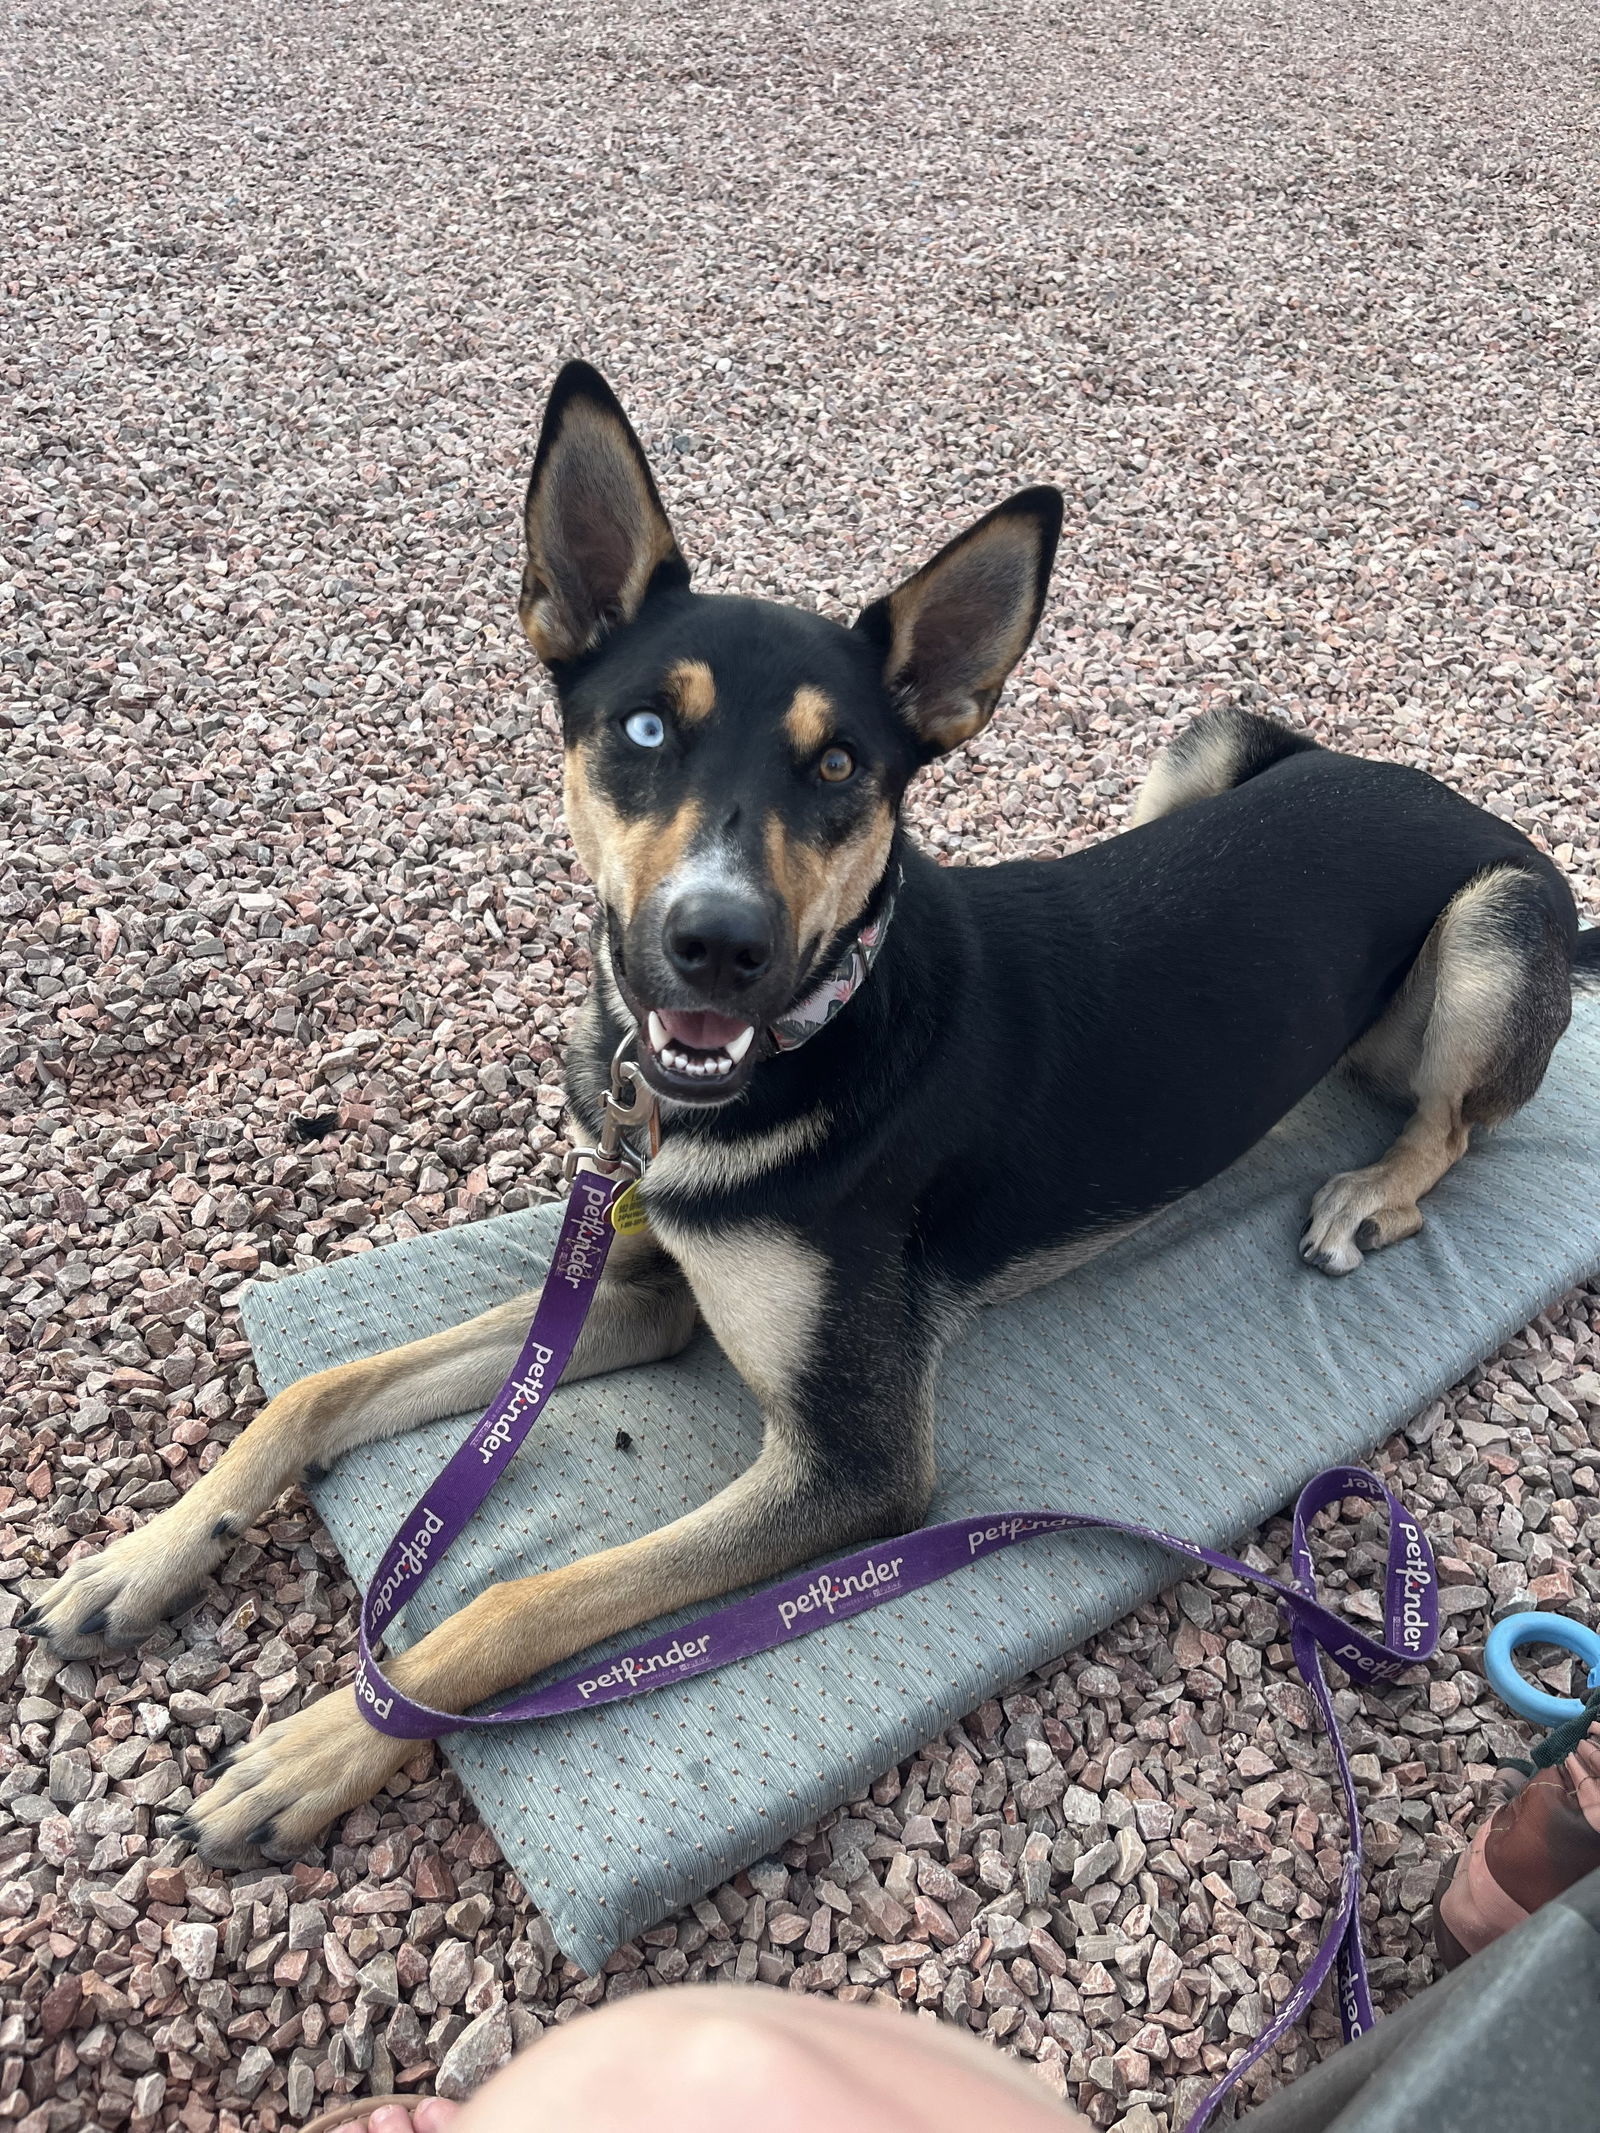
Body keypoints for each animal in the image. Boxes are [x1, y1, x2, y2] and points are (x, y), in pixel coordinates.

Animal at [25, 362, 1600, 1851]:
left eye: (841, 765)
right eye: (642, 728)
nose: (715, 943)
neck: (799, 1046)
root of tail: (1454, 800)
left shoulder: (853, 1467)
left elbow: (523, 1598)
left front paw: (326, 1742)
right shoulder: (642, 1282)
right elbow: (321, 1386)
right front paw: (143, 1558)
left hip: (1493, 922)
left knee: (1451, 1121)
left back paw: (1371, 1195)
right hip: (1210, 743)